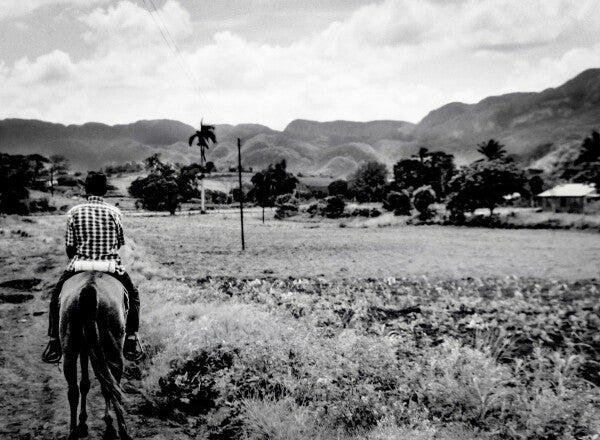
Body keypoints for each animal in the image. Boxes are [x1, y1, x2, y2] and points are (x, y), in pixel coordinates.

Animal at [58, 272, 132, 440]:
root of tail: (89, 287)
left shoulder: (85, 347)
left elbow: (84, 384)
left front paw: (83, 422)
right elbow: (100, 385)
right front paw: (106, 421)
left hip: (70, 348)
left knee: (73, 391)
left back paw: (73, 432)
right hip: (114, 350)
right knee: (114, 388)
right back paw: (121, 430)